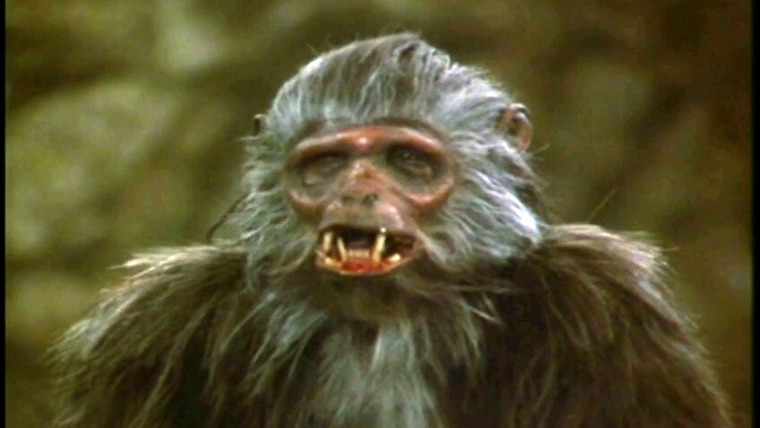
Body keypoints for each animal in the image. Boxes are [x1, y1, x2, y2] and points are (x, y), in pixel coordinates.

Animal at [51, 33, 732, 428]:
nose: (356, 191)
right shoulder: (149, 329)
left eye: (406, 160)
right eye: (326, 165)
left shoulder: (613, 310)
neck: (383, 328)